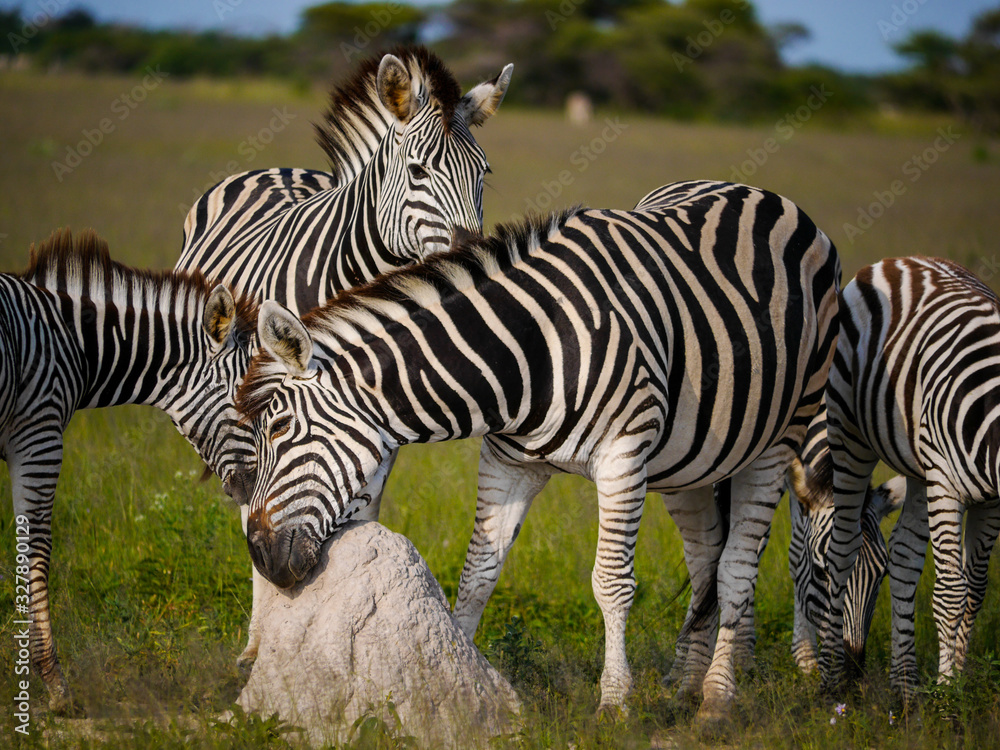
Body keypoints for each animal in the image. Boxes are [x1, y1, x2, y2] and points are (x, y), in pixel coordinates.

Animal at [1, 229, 256, 711]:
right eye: (248, 403)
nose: (251, 491)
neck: (74, 343)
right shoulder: (38, 434)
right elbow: (35, 549)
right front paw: (55, 683)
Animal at [233, 180, 841, 721]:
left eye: (279, 428)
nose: (259, 556)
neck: (529, 351)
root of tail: (763, 194)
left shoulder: (624, 456)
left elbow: (611, 582)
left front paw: (614, 702)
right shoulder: (509, 462)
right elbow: (477, 575)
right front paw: (461, 680)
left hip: (779, 436)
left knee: (737, 567)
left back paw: (716, 700)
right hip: (689, 460)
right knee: (706, 558)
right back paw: (684, 684)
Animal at [817, 256, 1000, 699]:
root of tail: (901, 261)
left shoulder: (992, 500)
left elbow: (975, 588)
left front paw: (956, 680)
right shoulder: (948, 485)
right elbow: (951, 593)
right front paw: (949, 695)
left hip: (920, 468)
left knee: (902, 555)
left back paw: (905, 687)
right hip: (851, 437)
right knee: (842, 550)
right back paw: (830, 681)